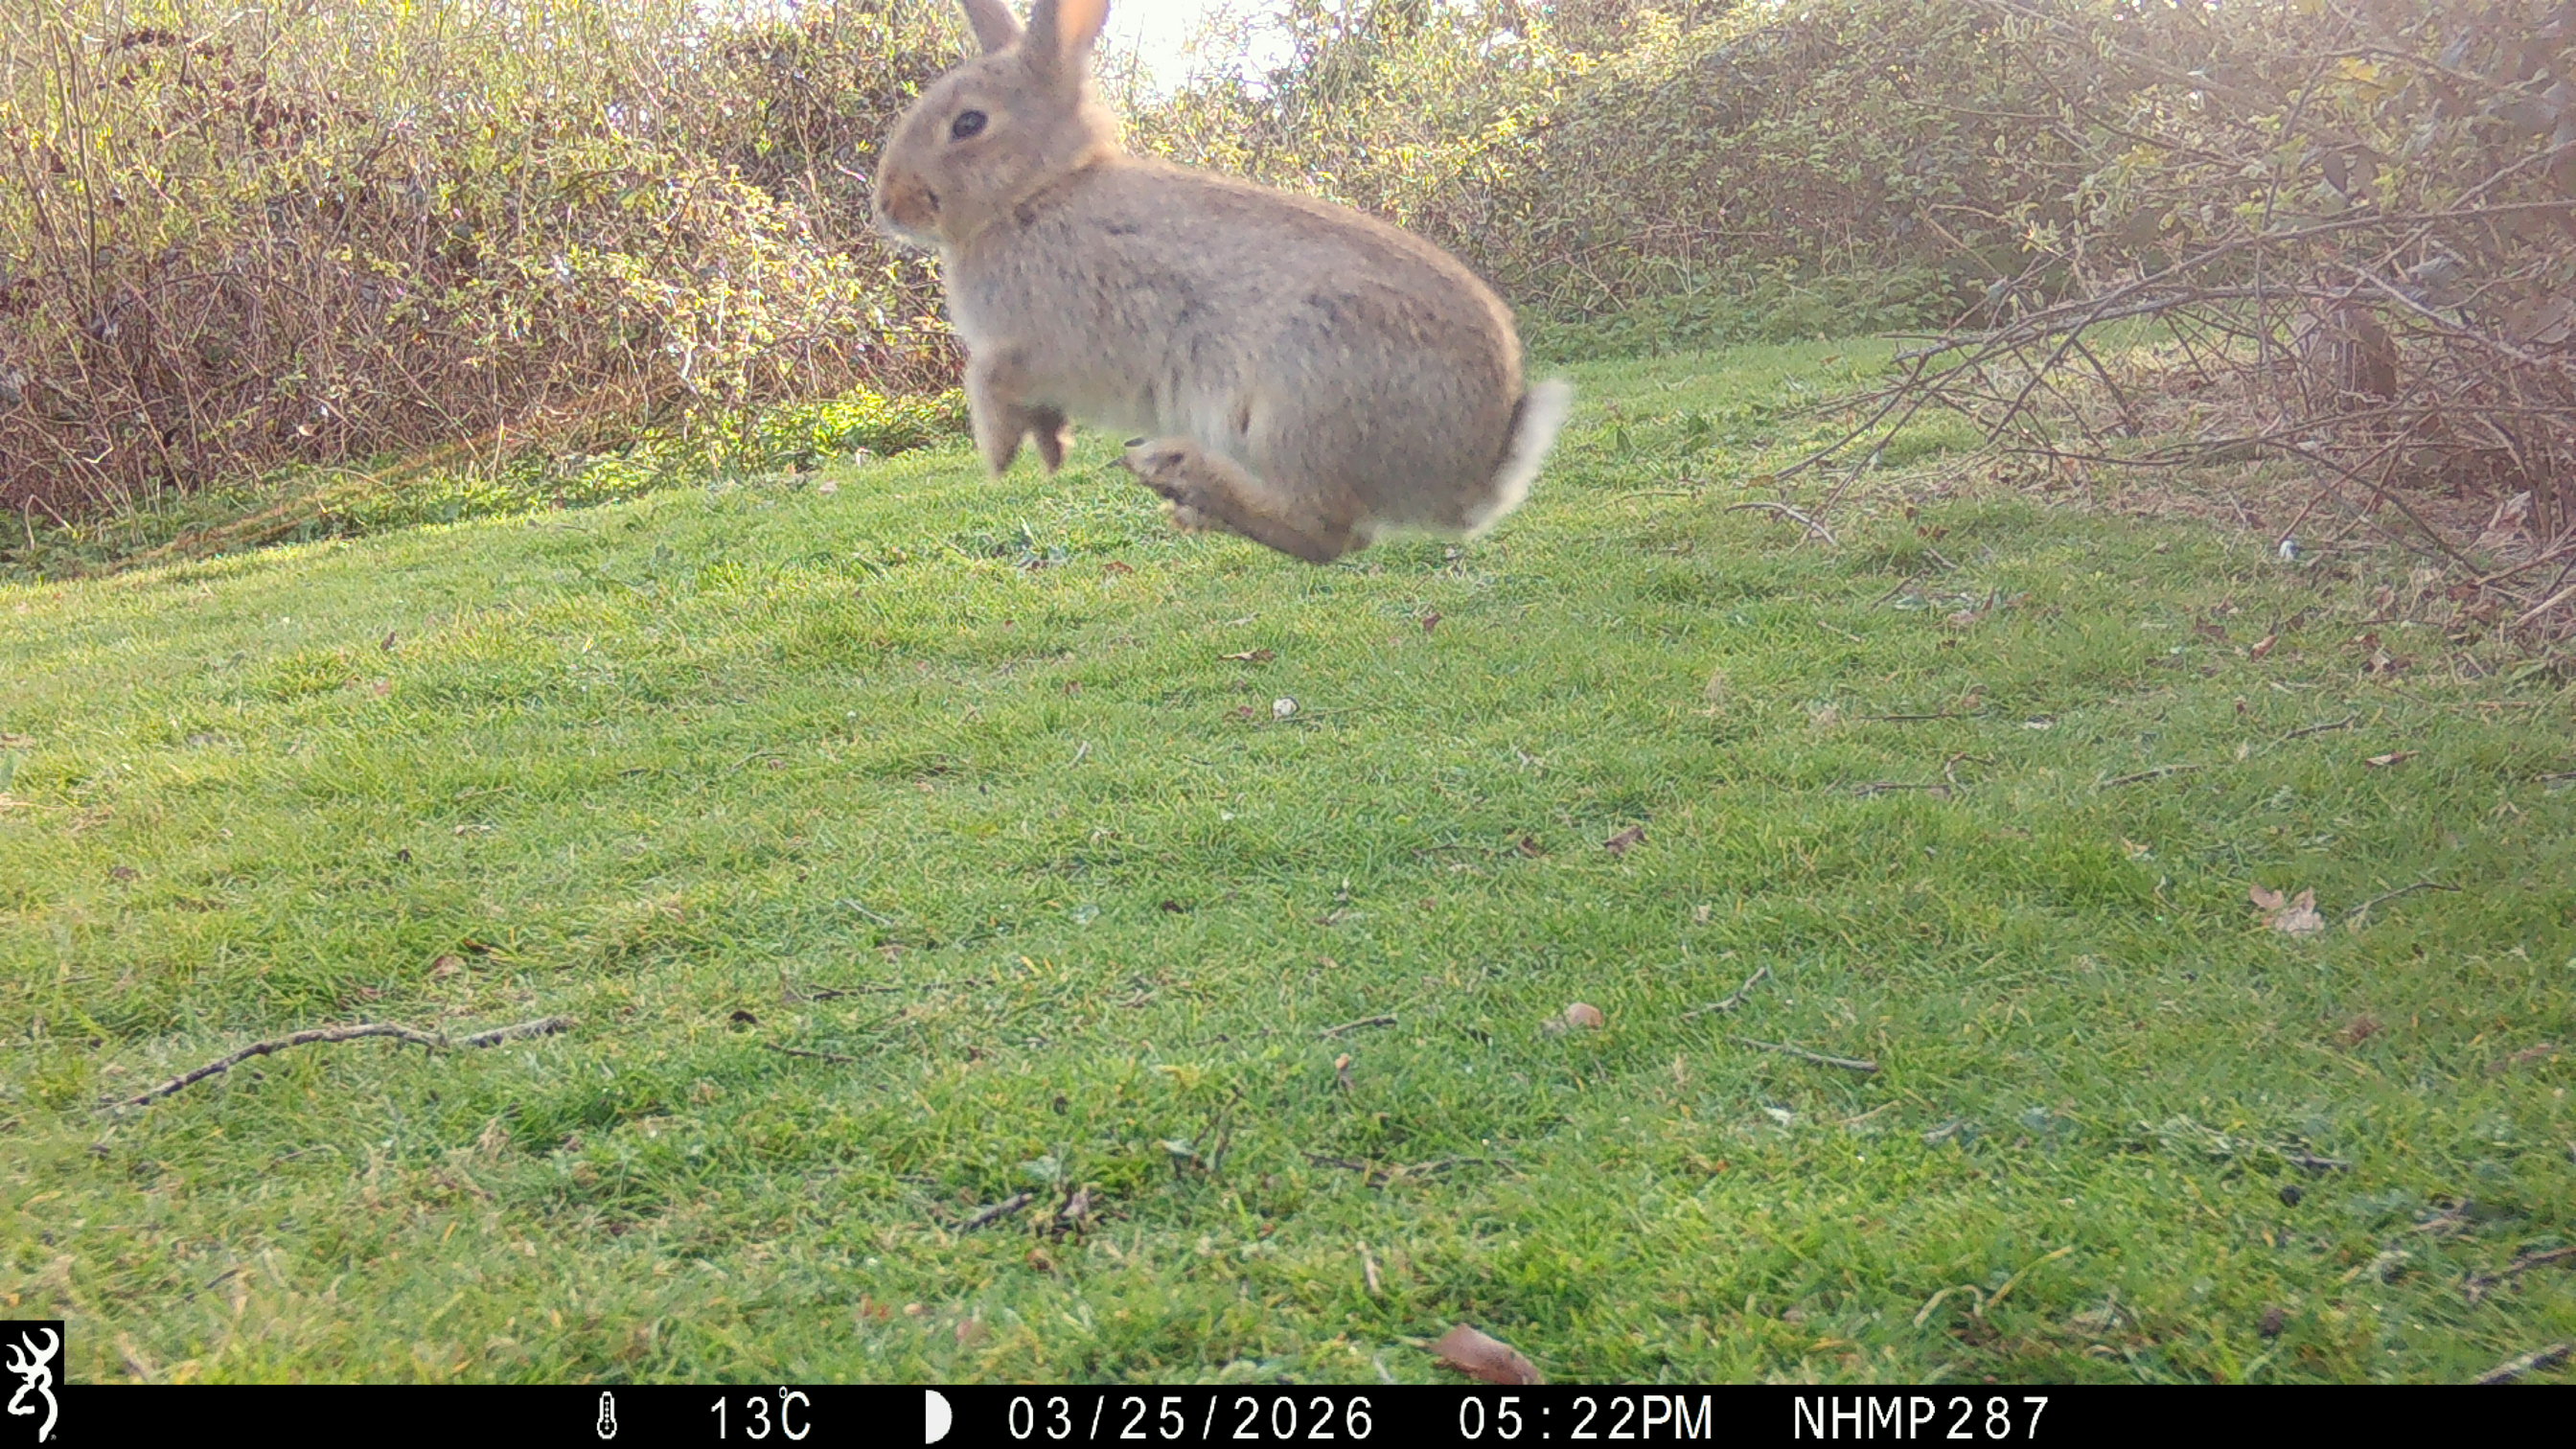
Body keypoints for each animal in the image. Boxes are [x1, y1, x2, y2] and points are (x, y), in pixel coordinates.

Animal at [871, 0, 1572, 564]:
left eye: (968, 124)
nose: (888, 205)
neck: (1035, 194)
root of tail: (1475, 477)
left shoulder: (1057, 338)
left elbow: (986, 378)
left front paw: (998, 456)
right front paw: (1049, 449)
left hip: (1296, 409)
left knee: (1328, 535)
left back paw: (1180, 473)